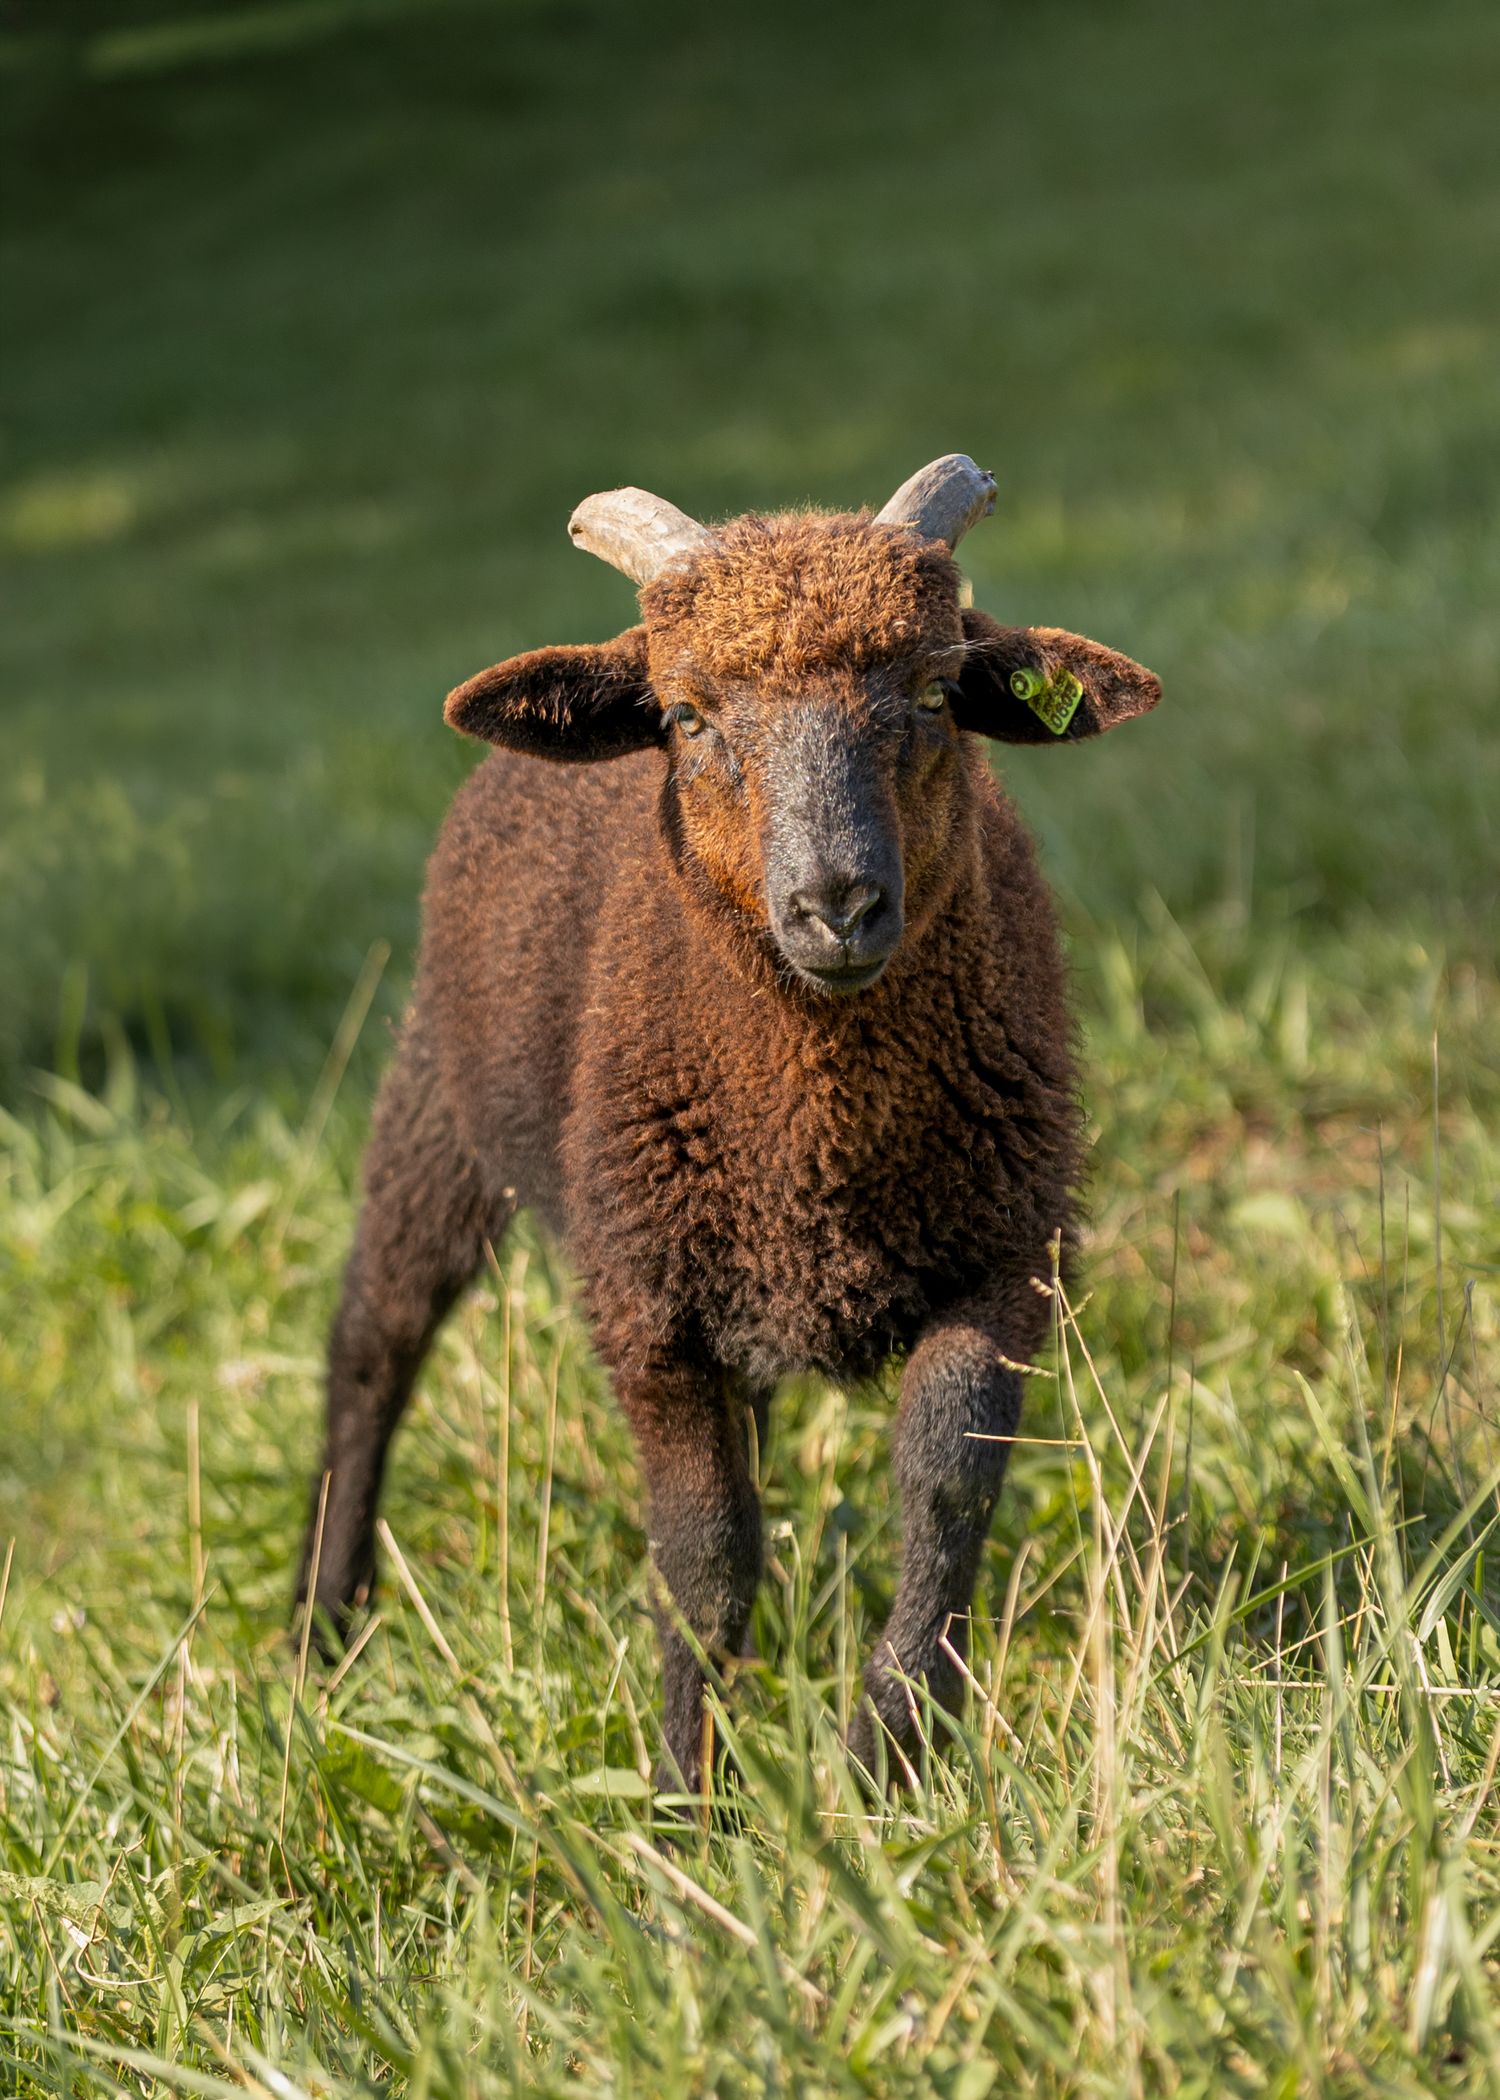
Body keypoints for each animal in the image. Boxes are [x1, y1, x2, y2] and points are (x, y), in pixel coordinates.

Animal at [295, 455, 1161, 1793]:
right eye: (687, 716)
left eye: (932, 691)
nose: (838, 906)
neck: (824, 1137)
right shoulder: (647, 1308)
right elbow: (700, 1555)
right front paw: (684, 1797)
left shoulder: (1003, 1258)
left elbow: (944, 1495)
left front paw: (887, 1758)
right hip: (434, 1092)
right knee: (372, 1349)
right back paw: (324, 1626)